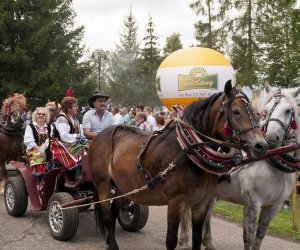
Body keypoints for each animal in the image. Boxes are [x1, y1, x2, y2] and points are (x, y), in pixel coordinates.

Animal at [88, 80, 268, 250]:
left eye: (255, 113)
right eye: (236, 112)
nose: (261, 145)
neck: (189, 151)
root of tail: (100, 135)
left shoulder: (201, 203)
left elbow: (197, 238)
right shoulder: (175, 202)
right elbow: (171, 241)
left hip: (121, 187)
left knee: (114, 211)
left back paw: (109, 240)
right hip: (103, 185)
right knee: (107, 216)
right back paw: (112, 244)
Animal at [179, 83, 298, 249]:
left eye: (288, 110)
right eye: (265, 111)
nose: (270, 138)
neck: (273, 166)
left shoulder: (273, 208)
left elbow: (259, 239)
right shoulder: (252, 204)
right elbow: (248, 238)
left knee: (208, 213)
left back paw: (208, 241)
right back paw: (183, 239)